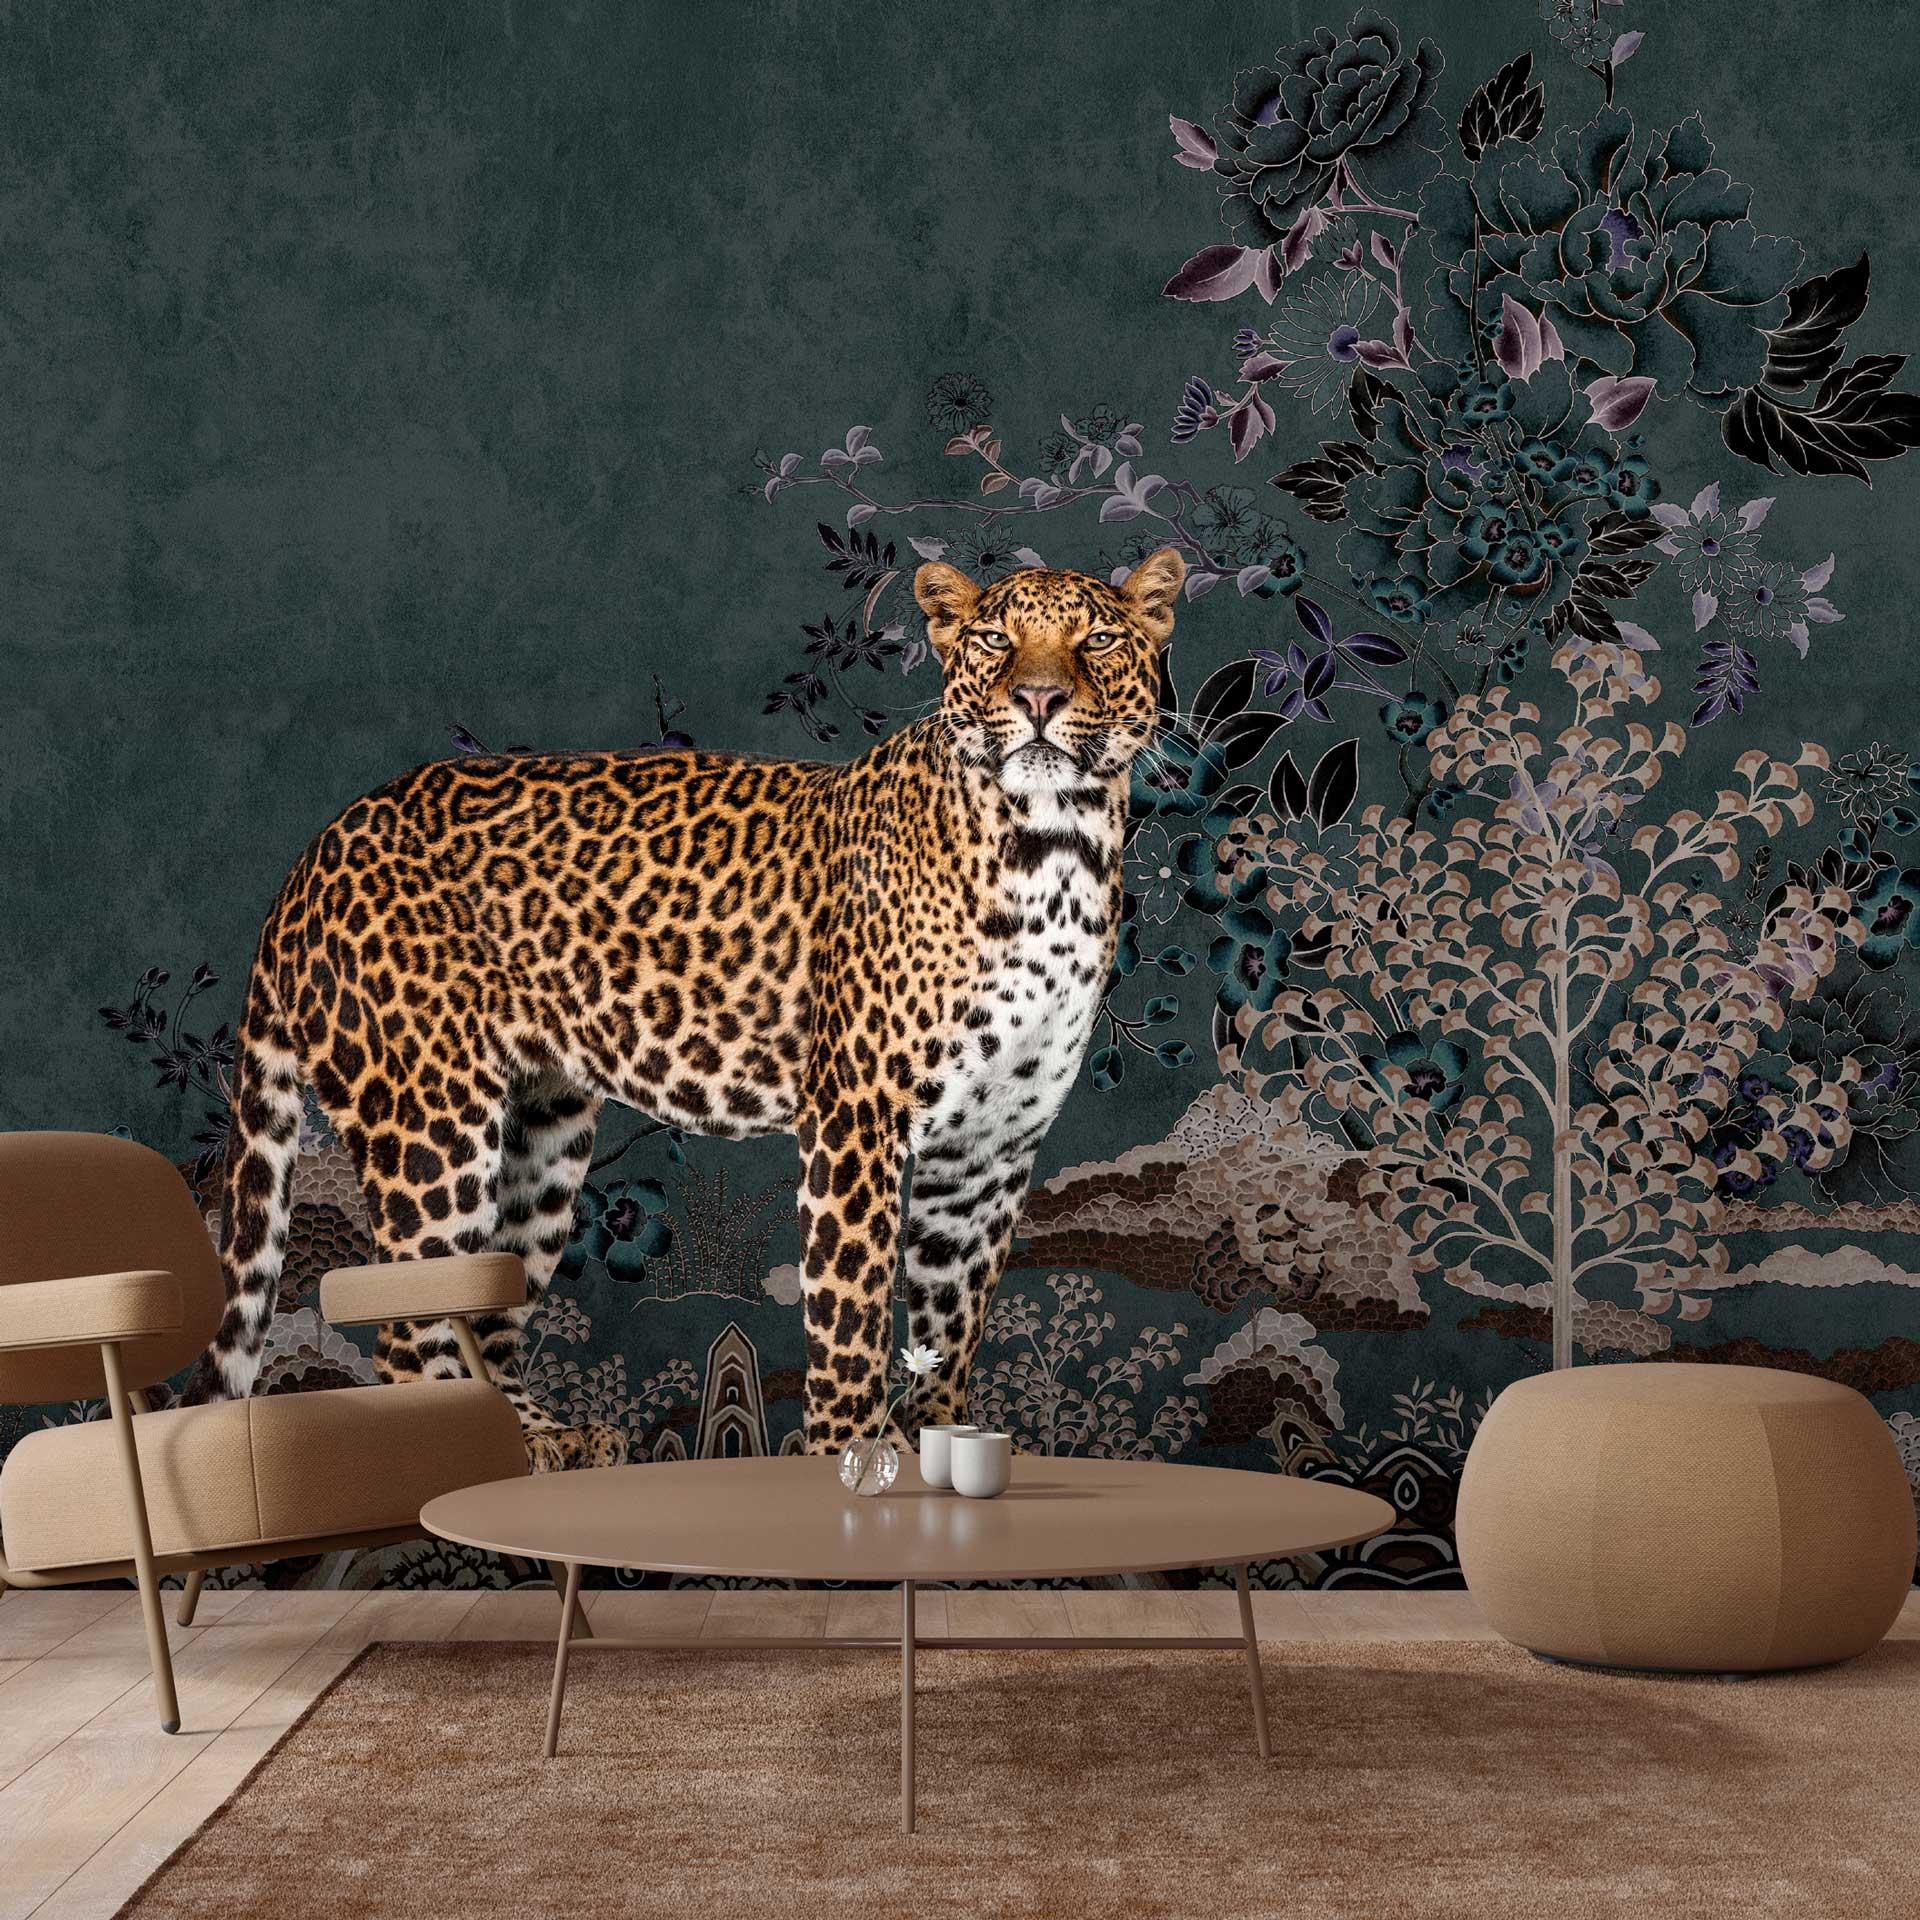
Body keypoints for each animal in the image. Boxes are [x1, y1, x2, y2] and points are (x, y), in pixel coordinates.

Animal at [185, 546, 1186, 1461]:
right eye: (994, 640)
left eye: (1097, 640)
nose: (1040, 700)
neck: (1056, 848)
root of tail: (314, 851)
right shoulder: (857, 1118)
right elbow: (852, 1313)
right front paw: (852, 1453)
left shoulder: (991, 1148)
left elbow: (951, 1320)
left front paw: (937, 1440)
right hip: (428, 1130)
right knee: (407, 1332)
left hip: (543, 1140)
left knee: (488, 1319)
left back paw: (548, 1441)